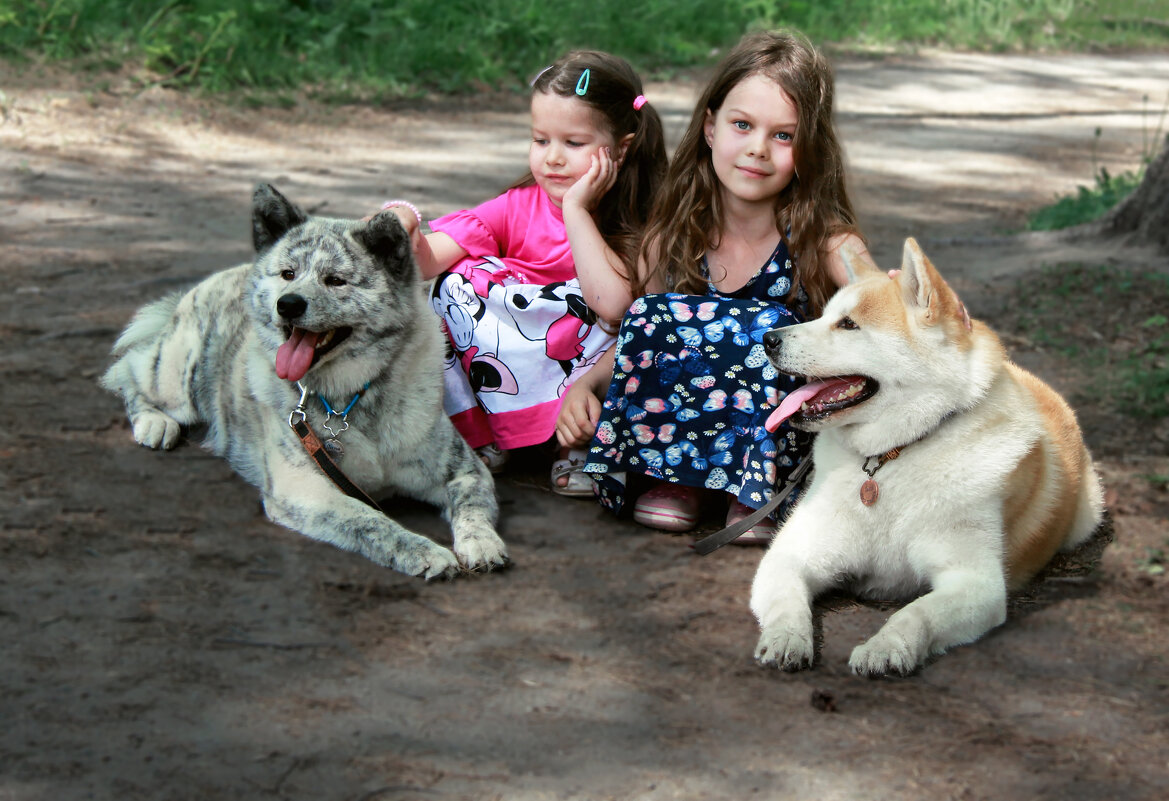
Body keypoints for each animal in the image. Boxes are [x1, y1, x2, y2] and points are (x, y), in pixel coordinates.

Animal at [106, 184, 512, 577]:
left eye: (335, 281)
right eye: (288, 274)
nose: (287, 304)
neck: (348, 398)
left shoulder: (463, 470)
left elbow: (472, 503)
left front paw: (481, 542)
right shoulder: (307, 491)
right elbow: (372, 521)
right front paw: (423, 552)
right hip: (178, 381)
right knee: (129, 372)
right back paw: (154, 423)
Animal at [752, 236, 1098, 673]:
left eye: (848, 324)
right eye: (825, 314)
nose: (768, 339)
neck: (892, 456)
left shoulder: (975, 582)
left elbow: (914, 613)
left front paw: (886, 648)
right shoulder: (792, 555)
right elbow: (787, 602)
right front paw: (786, 639)